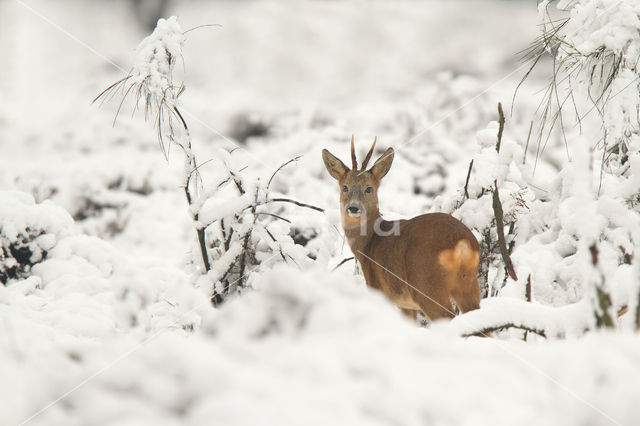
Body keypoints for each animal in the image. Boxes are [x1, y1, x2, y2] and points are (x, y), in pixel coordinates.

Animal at [324, 136, 480, 320]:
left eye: (369, 188)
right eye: (345, 187)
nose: (353, 208)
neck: (369, 244)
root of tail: (462, 242)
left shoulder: (380, 291)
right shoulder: (406, 304)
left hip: (426, 284)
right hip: (468, 281)